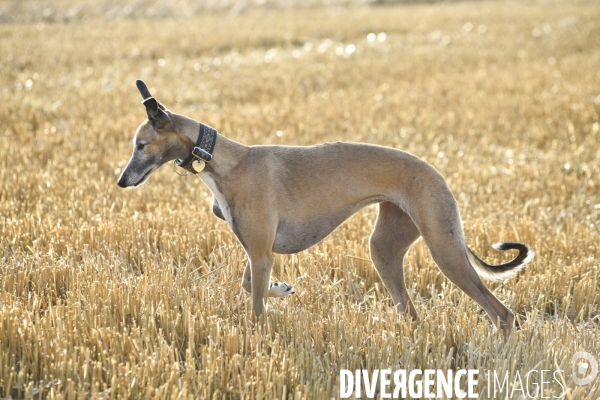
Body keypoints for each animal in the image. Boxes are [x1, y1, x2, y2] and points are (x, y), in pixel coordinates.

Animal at [117, 80, 536, 338]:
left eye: (140, 145)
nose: (121, 181)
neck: (224, 161)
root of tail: (436, 174)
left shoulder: (261, 252)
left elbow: (255, 308)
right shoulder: (257, 251)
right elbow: (249, 284)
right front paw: (281, 289)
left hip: (445, 250)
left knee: (502, 313)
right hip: (385, 249)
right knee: (410, 310)